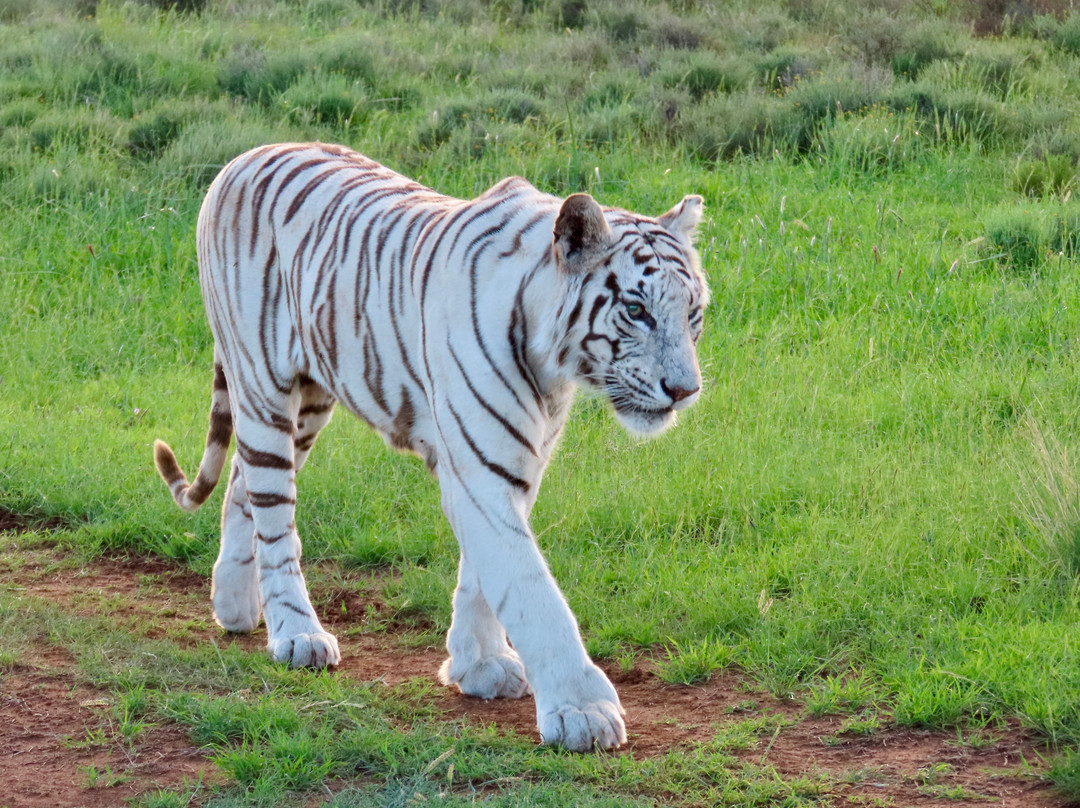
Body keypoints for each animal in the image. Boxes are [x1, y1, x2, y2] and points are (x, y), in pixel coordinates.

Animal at [153, 142, 707, 752]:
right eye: (636, 311)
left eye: (693, 313)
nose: (685, 391)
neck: (553, 366)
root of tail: (244, 156)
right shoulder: (480, 470)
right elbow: (530, 589)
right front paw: (581, 710)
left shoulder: (514, 465)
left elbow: (484, 575)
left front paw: (479, 665)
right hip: (262, 384)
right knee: (275, 516)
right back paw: (297, 634)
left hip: (310, 401)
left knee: (240, 485)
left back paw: (235, 606)